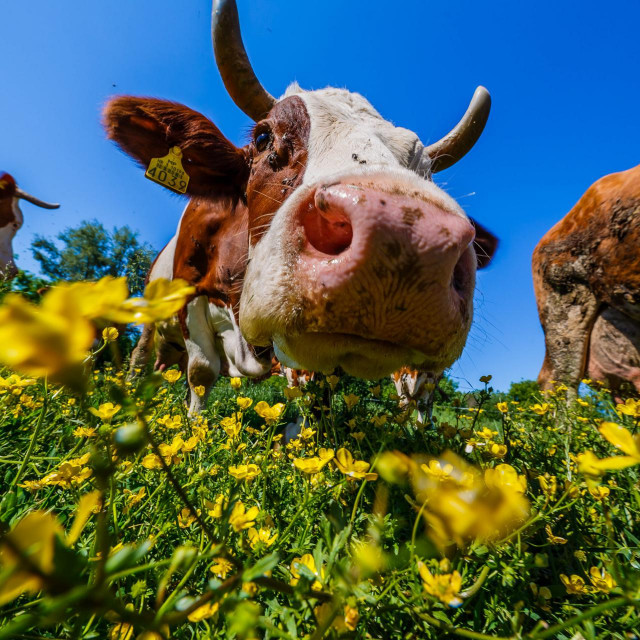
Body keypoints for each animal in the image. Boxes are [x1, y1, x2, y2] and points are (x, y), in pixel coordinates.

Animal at [104, 0, 496, 416]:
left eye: (428, 171)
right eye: (263, 137)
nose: (406, 239)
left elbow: (312, 397)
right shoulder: (189, 294)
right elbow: (201, 373)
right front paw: (191, 427)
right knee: (146, 361)